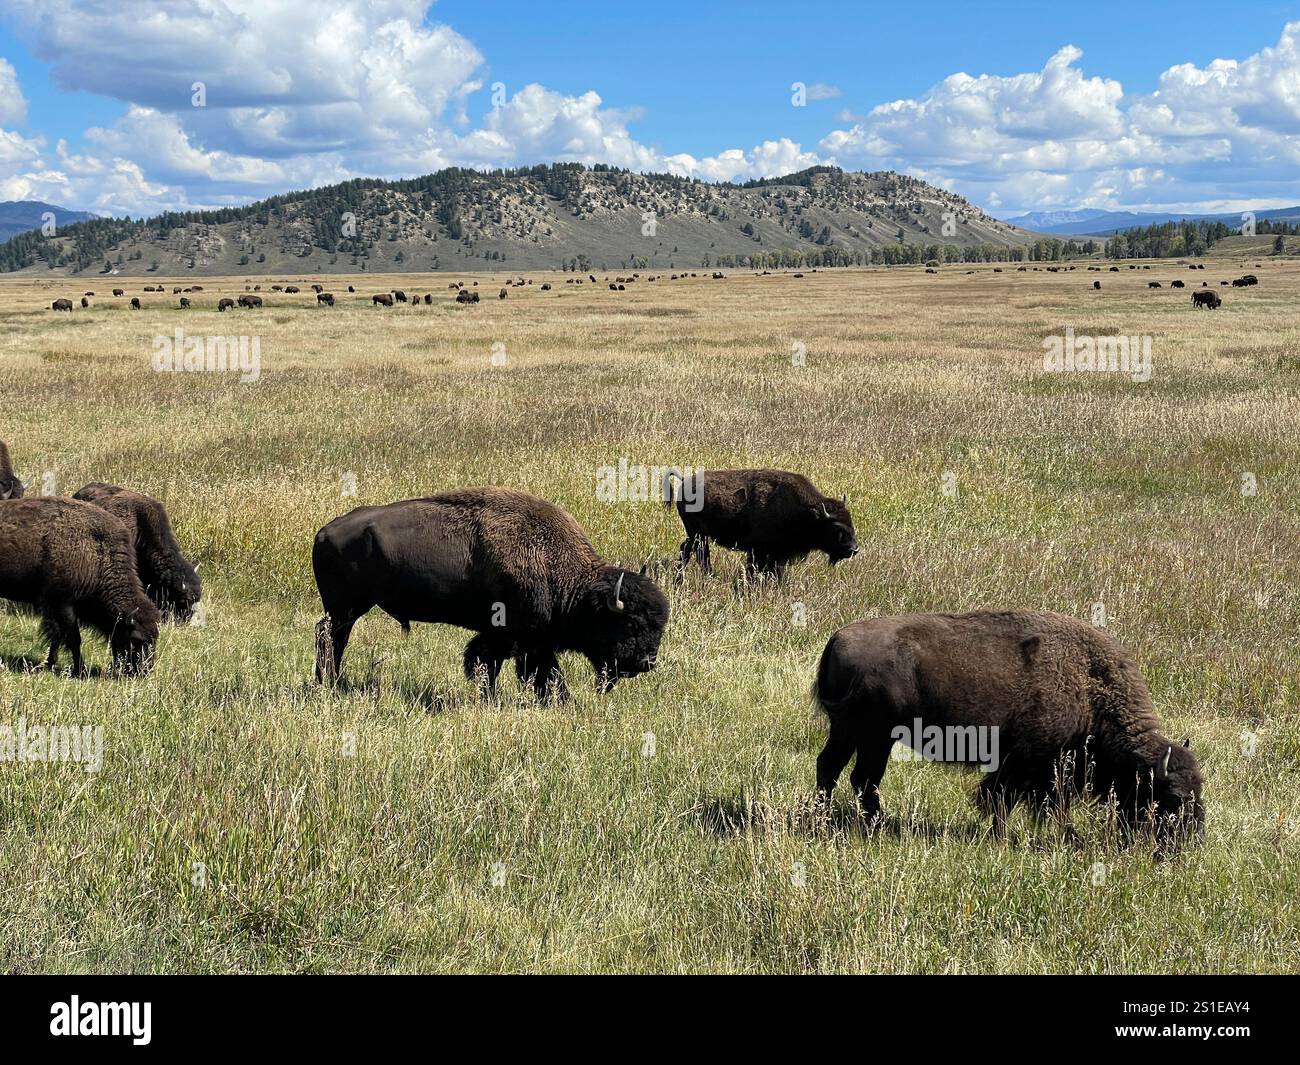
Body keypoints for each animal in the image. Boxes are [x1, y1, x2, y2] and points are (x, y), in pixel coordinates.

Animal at [0, 494, 159, 676]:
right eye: (136, 639)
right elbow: (72, 639)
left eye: (155, 638)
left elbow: (57, 638)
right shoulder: (61, 604)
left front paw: (50, 664)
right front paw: (79, 670)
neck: (98, 553)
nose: (144, 671)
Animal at [308, 488, 665, 702]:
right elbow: (521, 668)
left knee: (333, 638)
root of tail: (324, 531)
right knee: (330, 638)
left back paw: (331, 682)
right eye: (629, 625)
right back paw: (330, 683)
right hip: (345, 608)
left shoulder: (520, 639)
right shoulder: (518, 637)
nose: (647, 662)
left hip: (347, 610)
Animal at [665, 468, 857, 582]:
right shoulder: (759, 552)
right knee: (696, 553)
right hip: (697, 534)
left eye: (851, 521)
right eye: (836, 527)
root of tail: (685, 480)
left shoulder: (776, 555)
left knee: (692, 552)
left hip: (698, 535)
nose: (854, 549)